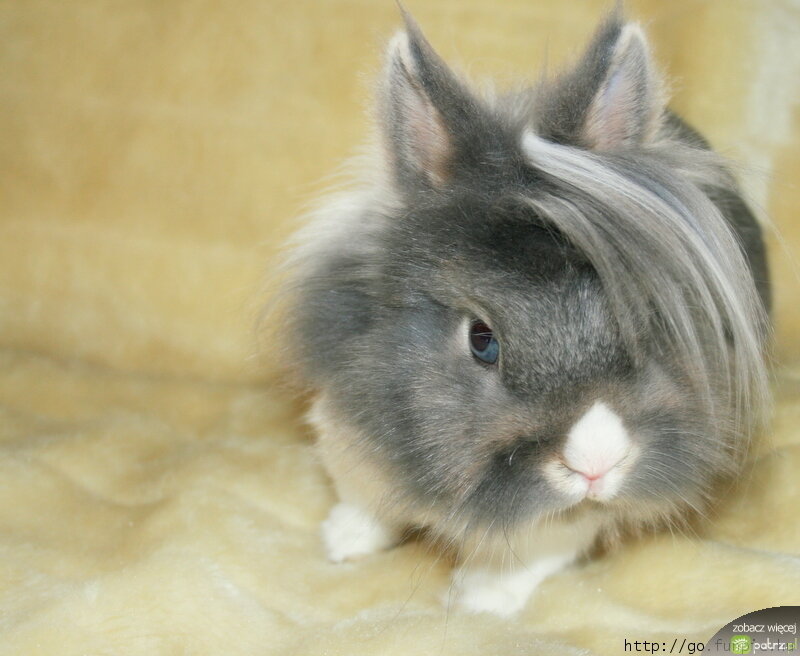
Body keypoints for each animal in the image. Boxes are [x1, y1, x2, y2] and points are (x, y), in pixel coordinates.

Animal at [280, 8, 771, 617]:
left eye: (649, 313)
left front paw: (481, 599)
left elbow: (537, 551)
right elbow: (365, 504)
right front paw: (343, 543)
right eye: (481, 339)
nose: (595, 465)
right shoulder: (347, 439)